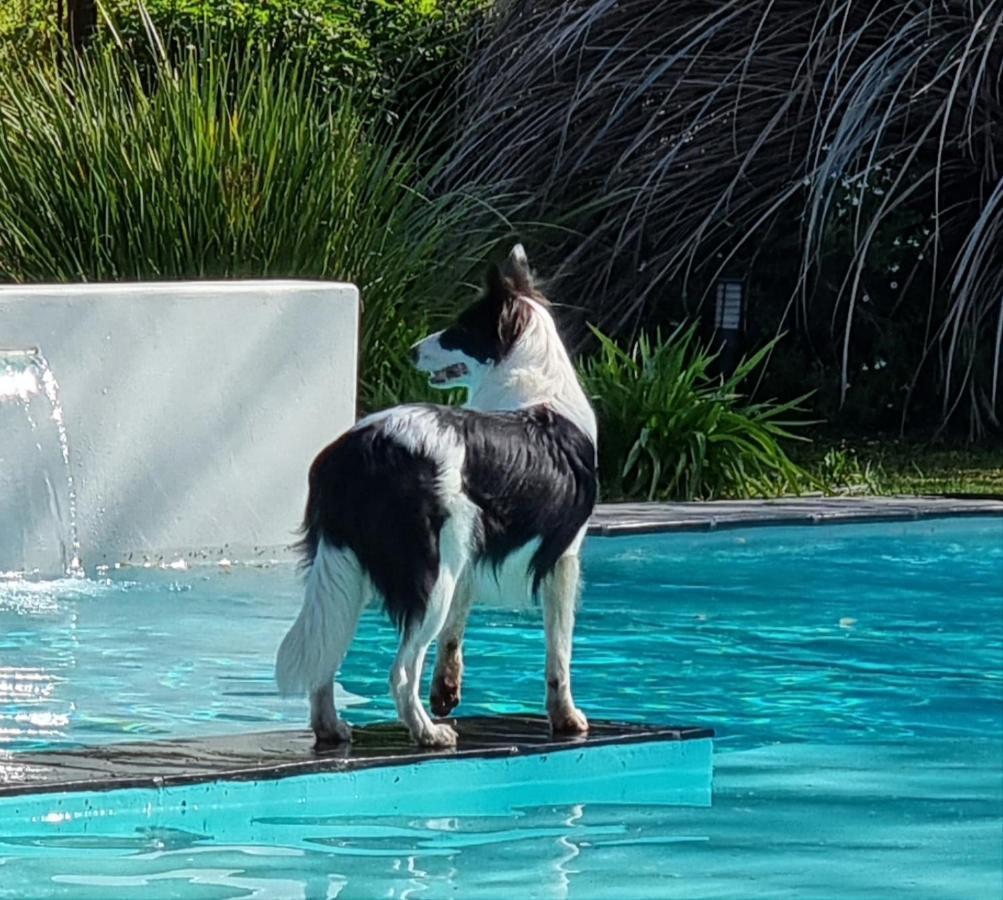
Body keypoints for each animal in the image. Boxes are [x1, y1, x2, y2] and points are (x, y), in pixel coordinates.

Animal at [276, 242, 593, 746]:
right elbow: (558, 652)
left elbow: (455, 635)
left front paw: (447, 690)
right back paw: (427, 731)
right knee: (400, 670)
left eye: (460, 329)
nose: (410, 351)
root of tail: (361, 448)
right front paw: (566, 717)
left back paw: (332, 727)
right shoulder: (564, 560)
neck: (533, 383)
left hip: (351, 567)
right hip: (429, 573)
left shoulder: (469, 558)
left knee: (327, 654)